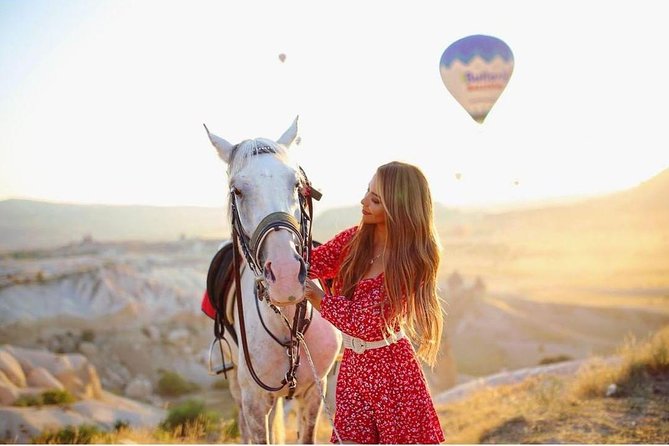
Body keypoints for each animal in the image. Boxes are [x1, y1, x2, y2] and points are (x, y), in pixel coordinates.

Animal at [202, 116, 340, 444]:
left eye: (297, 184)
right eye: (237, 191)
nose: (287, 276)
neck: (287, 324)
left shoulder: (314, 394)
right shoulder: (254, 403)